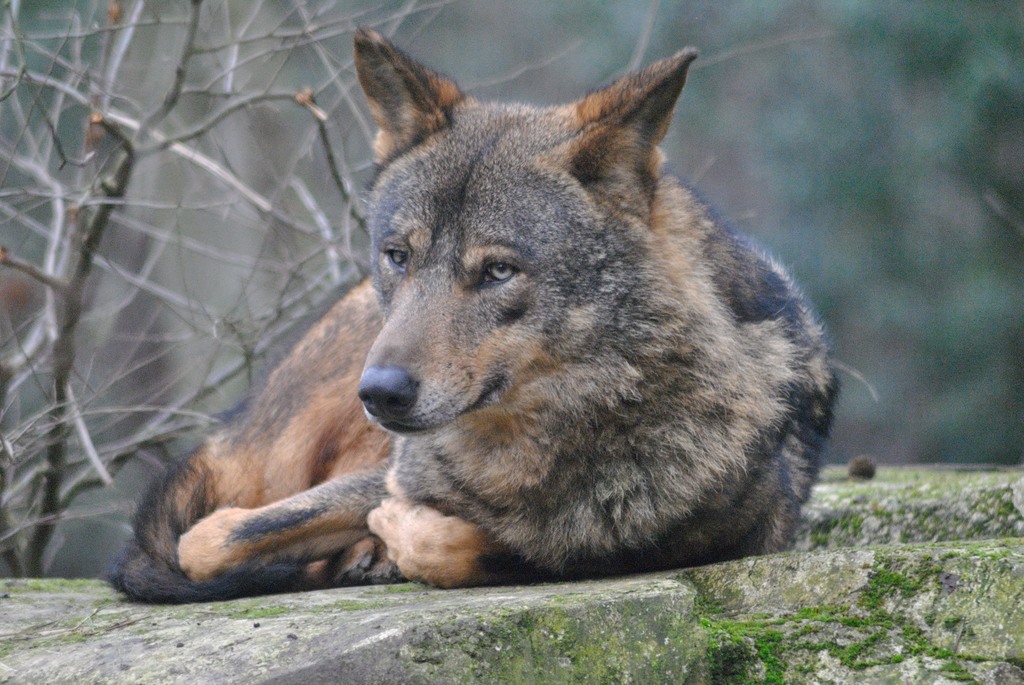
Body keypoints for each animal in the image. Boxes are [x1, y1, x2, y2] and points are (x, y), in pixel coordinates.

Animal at [109, 28, 837, 602]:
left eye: (498, 271)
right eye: (398, 255)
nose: (381, 392)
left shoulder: (708, 540)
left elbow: (470, 545)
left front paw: (402, 538)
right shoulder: (381, 474)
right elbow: (212, 539)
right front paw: (373, 538)